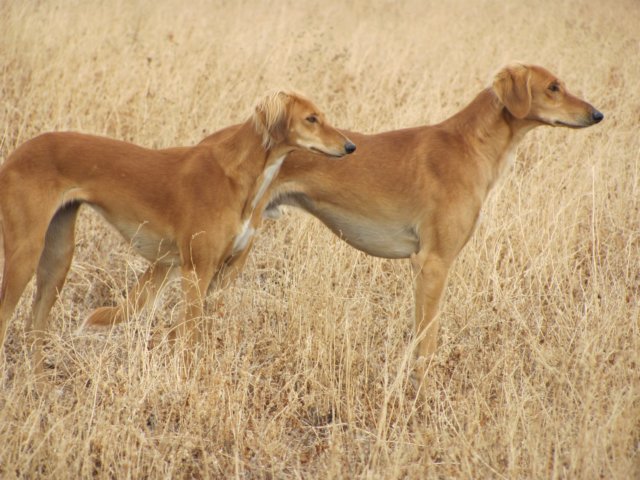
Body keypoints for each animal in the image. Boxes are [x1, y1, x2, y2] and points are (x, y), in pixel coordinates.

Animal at [0, 91, 356, 376]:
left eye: (322, 116)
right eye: (311, 119)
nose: (350, 146)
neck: (239, 175)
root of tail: (18, 152)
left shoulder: (224, 273)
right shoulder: (196, 271)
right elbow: (189, 335)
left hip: (57, 258)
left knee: (34, 326)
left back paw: (38, 384)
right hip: (25, 255)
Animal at [258, 63, 604, 380]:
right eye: (553, 87)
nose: (598, 115)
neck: (470, 144)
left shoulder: (424, 266)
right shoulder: (433, 263)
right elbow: (428, 344)